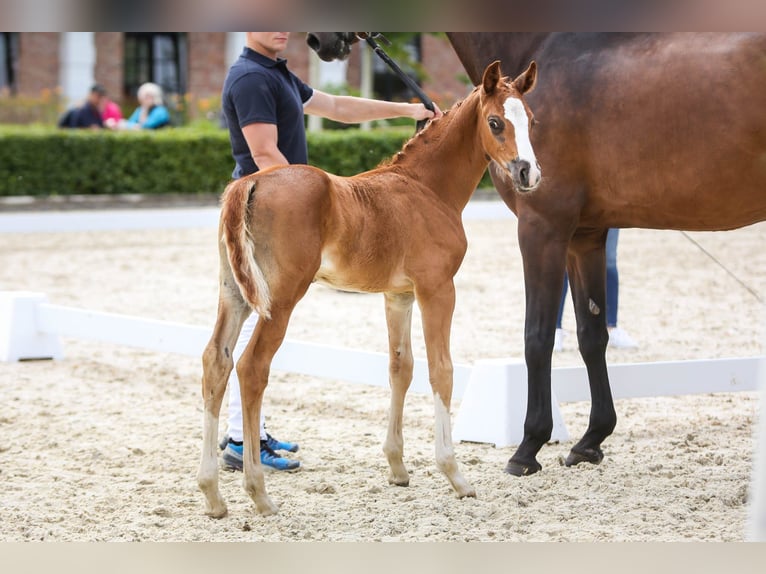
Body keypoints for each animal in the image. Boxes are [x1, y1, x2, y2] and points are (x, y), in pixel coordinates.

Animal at [201, 60, 544, 520]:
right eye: (495, 122)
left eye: (531, 121)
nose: (529, 173)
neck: (426, 189)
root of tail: (249, 184)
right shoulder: (438, 288)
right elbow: (442, 370)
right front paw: (455, 475)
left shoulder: (398, 295)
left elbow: (402, 367)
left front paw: (398, 468)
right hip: (281, 299)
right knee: (252, 367)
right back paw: (258, 492)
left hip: (235, 293)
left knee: (216, 361)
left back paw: (213, 494)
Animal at [308, 33, 766, 480]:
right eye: (497, 122)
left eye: (530, 121)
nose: (319, 41)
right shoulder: (584, 236)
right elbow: (590, 334)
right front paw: (590, 441)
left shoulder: (541, 228)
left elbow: (537, 336)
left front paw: (528, 446)